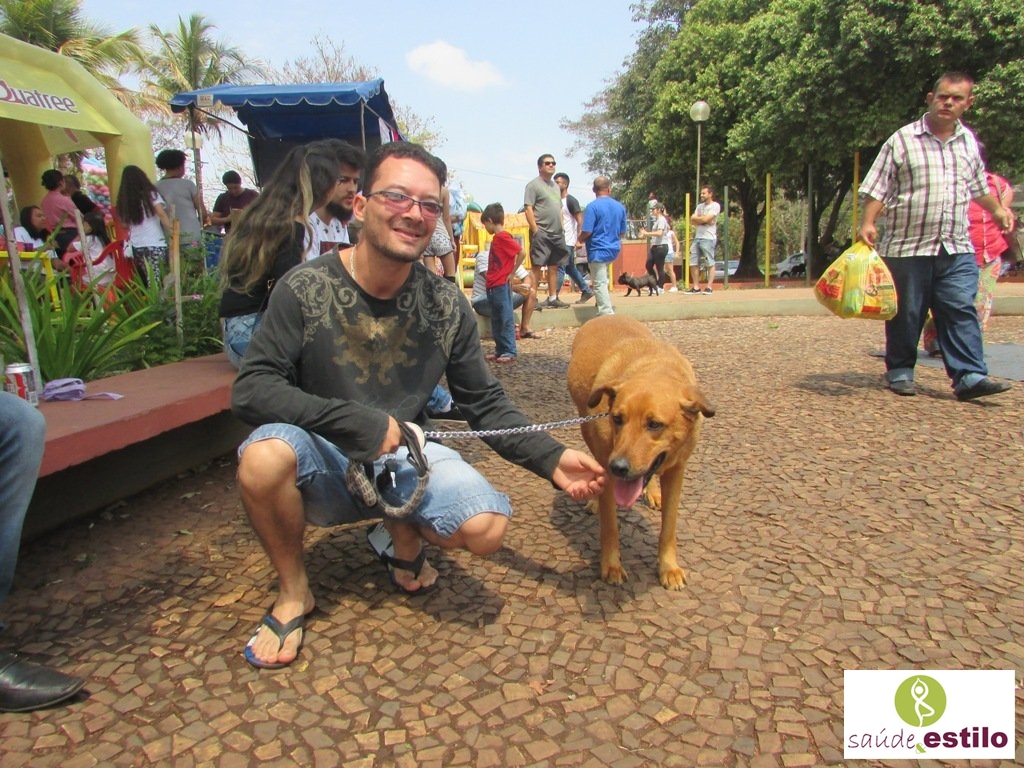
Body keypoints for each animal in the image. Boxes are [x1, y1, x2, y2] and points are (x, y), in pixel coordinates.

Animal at [567, 315, 715, 589]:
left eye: (654, 424)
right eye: (617, 419)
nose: (618, 467)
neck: (653, 368)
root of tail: (606, 315)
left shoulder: (677, 470)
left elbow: (669, 527)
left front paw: (669, 568)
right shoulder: (607, 465)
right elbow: (610, 527)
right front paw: (611, 566)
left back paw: (653, 493)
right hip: (586, 427)